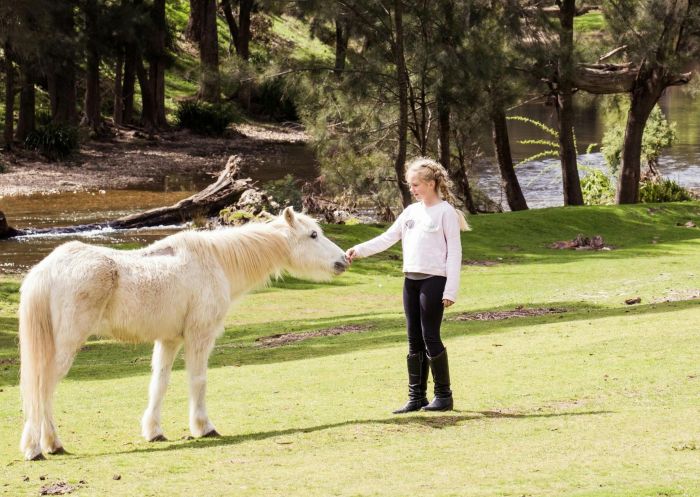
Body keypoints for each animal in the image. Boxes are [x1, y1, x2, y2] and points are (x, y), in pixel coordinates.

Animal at [18, 207, 349, 460]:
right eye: (313, 235)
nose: (344, 260)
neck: (216, 261)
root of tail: (47, 269)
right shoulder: (199, 336)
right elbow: (198, 380)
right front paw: (204, 427)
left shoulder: (169, 340)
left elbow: (159, 384)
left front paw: (154, 431)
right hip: (67, 345)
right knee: (43, 388)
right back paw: (40, 447)